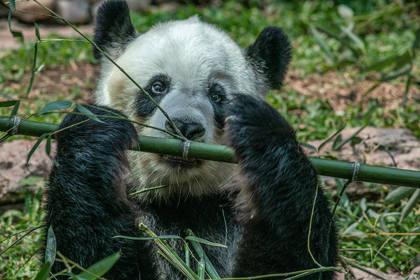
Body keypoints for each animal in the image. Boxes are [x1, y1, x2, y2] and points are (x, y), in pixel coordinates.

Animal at [42, 0, 338, 280]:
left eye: (217, 96)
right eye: (157, 87)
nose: (184, 126)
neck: (180, 200)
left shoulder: (224, 214)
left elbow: (301, 261)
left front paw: (261, 133)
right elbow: (84, 260)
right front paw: (95, 135)